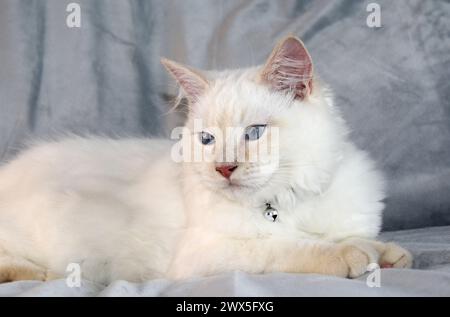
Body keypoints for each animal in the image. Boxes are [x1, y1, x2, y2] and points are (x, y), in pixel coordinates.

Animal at [0, 35, 412, 282]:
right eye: (207, 140)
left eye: (254, 133)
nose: (224, 168)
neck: (287, 199)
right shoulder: (209, 253)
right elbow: (288, 247)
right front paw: (349, 255)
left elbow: (359, 238)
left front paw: (386, 255)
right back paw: (41, 277)